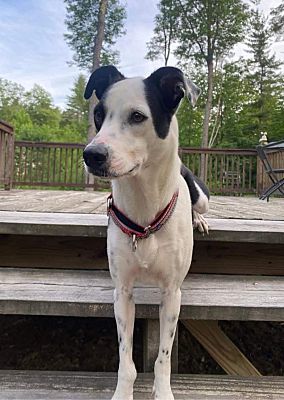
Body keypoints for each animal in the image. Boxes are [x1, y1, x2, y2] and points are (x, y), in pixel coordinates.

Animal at [83, 65, 210, 400]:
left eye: (138, 116)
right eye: (98, 114)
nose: (91, 154)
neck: (145, 212)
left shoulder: (172, 294)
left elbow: (163, 357)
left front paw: (163, 391)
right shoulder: (123, 292)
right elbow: (125, 357)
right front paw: (122, 392)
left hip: (201, 196)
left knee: (200, 206)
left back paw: (199, 220)